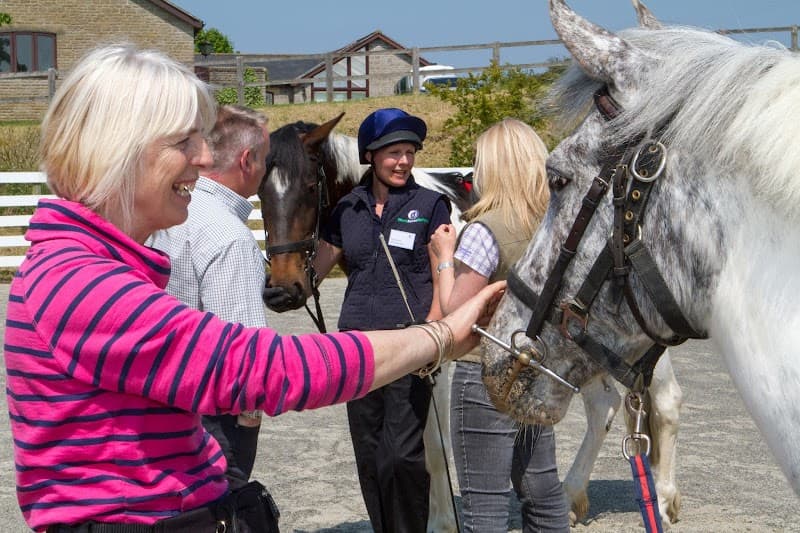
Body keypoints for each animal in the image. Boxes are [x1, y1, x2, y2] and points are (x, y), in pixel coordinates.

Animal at [259, 112, 683, 526]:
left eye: (309, 187)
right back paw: (570, 498)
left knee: (664, 401)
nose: (281, 289)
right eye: (260, 194)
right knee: (603, 406)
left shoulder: (437, 360)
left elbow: (433, 448)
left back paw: (662, 499)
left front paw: (442, 520)